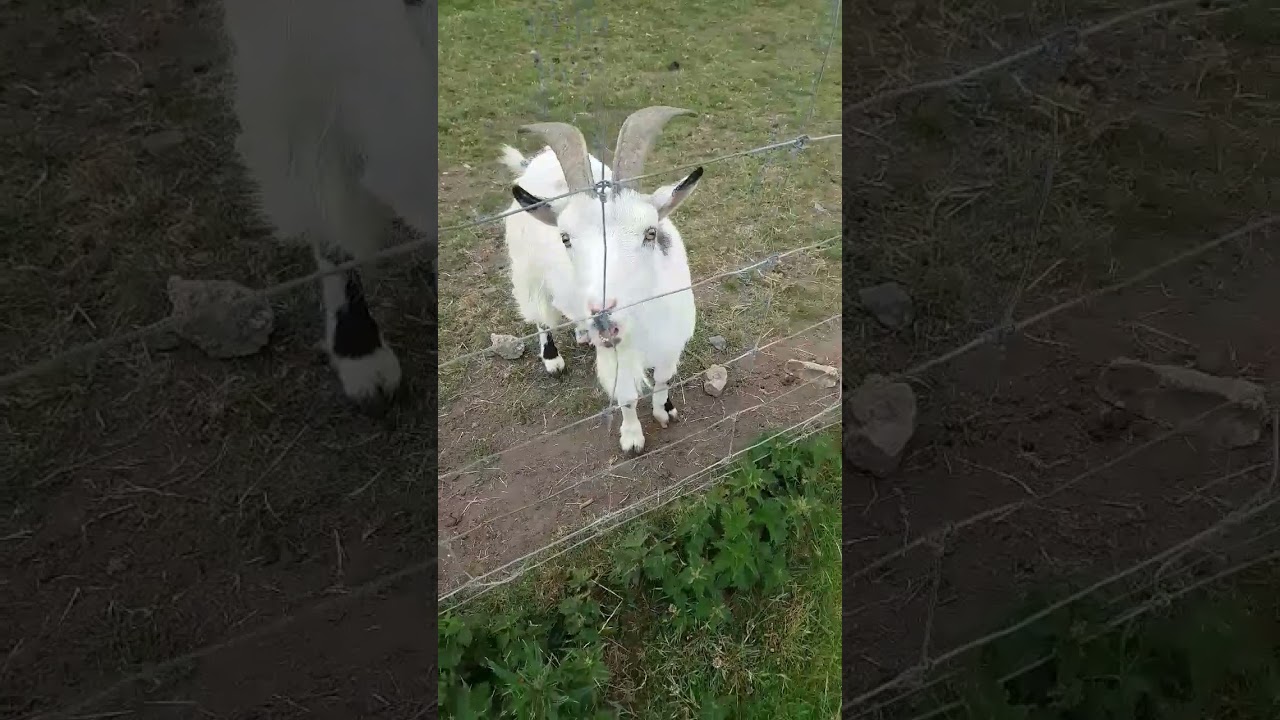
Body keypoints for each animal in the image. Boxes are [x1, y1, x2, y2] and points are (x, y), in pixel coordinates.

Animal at [500, 108, 705, 454]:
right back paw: (553, 359)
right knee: (541, 317)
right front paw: (632, 438)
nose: (603, 318)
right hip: (528, 272)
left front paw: (665, 410)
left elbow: (663, 380)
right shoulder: (615, 355)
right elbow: (626, 397)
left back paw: (582, 332)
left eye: (651, 232)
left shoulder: (671, 341)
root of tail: (538, 160)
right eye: (565, 238)